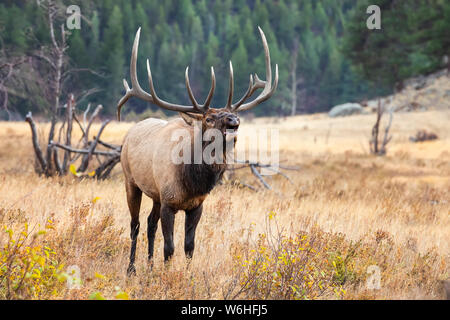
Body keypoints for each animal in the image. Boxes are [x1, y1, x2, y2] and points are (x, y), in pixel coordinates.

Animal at [117, 26, 278, 276]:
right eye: (209, 118)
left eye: (231, 114)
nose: (234, 120)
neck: (191, 181)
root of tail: (130, 132)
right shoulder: (169, 201)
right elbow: (170, 247)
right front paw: (167, 276)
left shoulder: (196, 205)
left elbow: (189, 246)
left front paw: (187, 274)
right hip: (130, 180)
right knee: (135, 224)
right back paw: (132, 268)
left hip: (154, 193)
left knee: (150, 224)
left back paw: (150, 266)